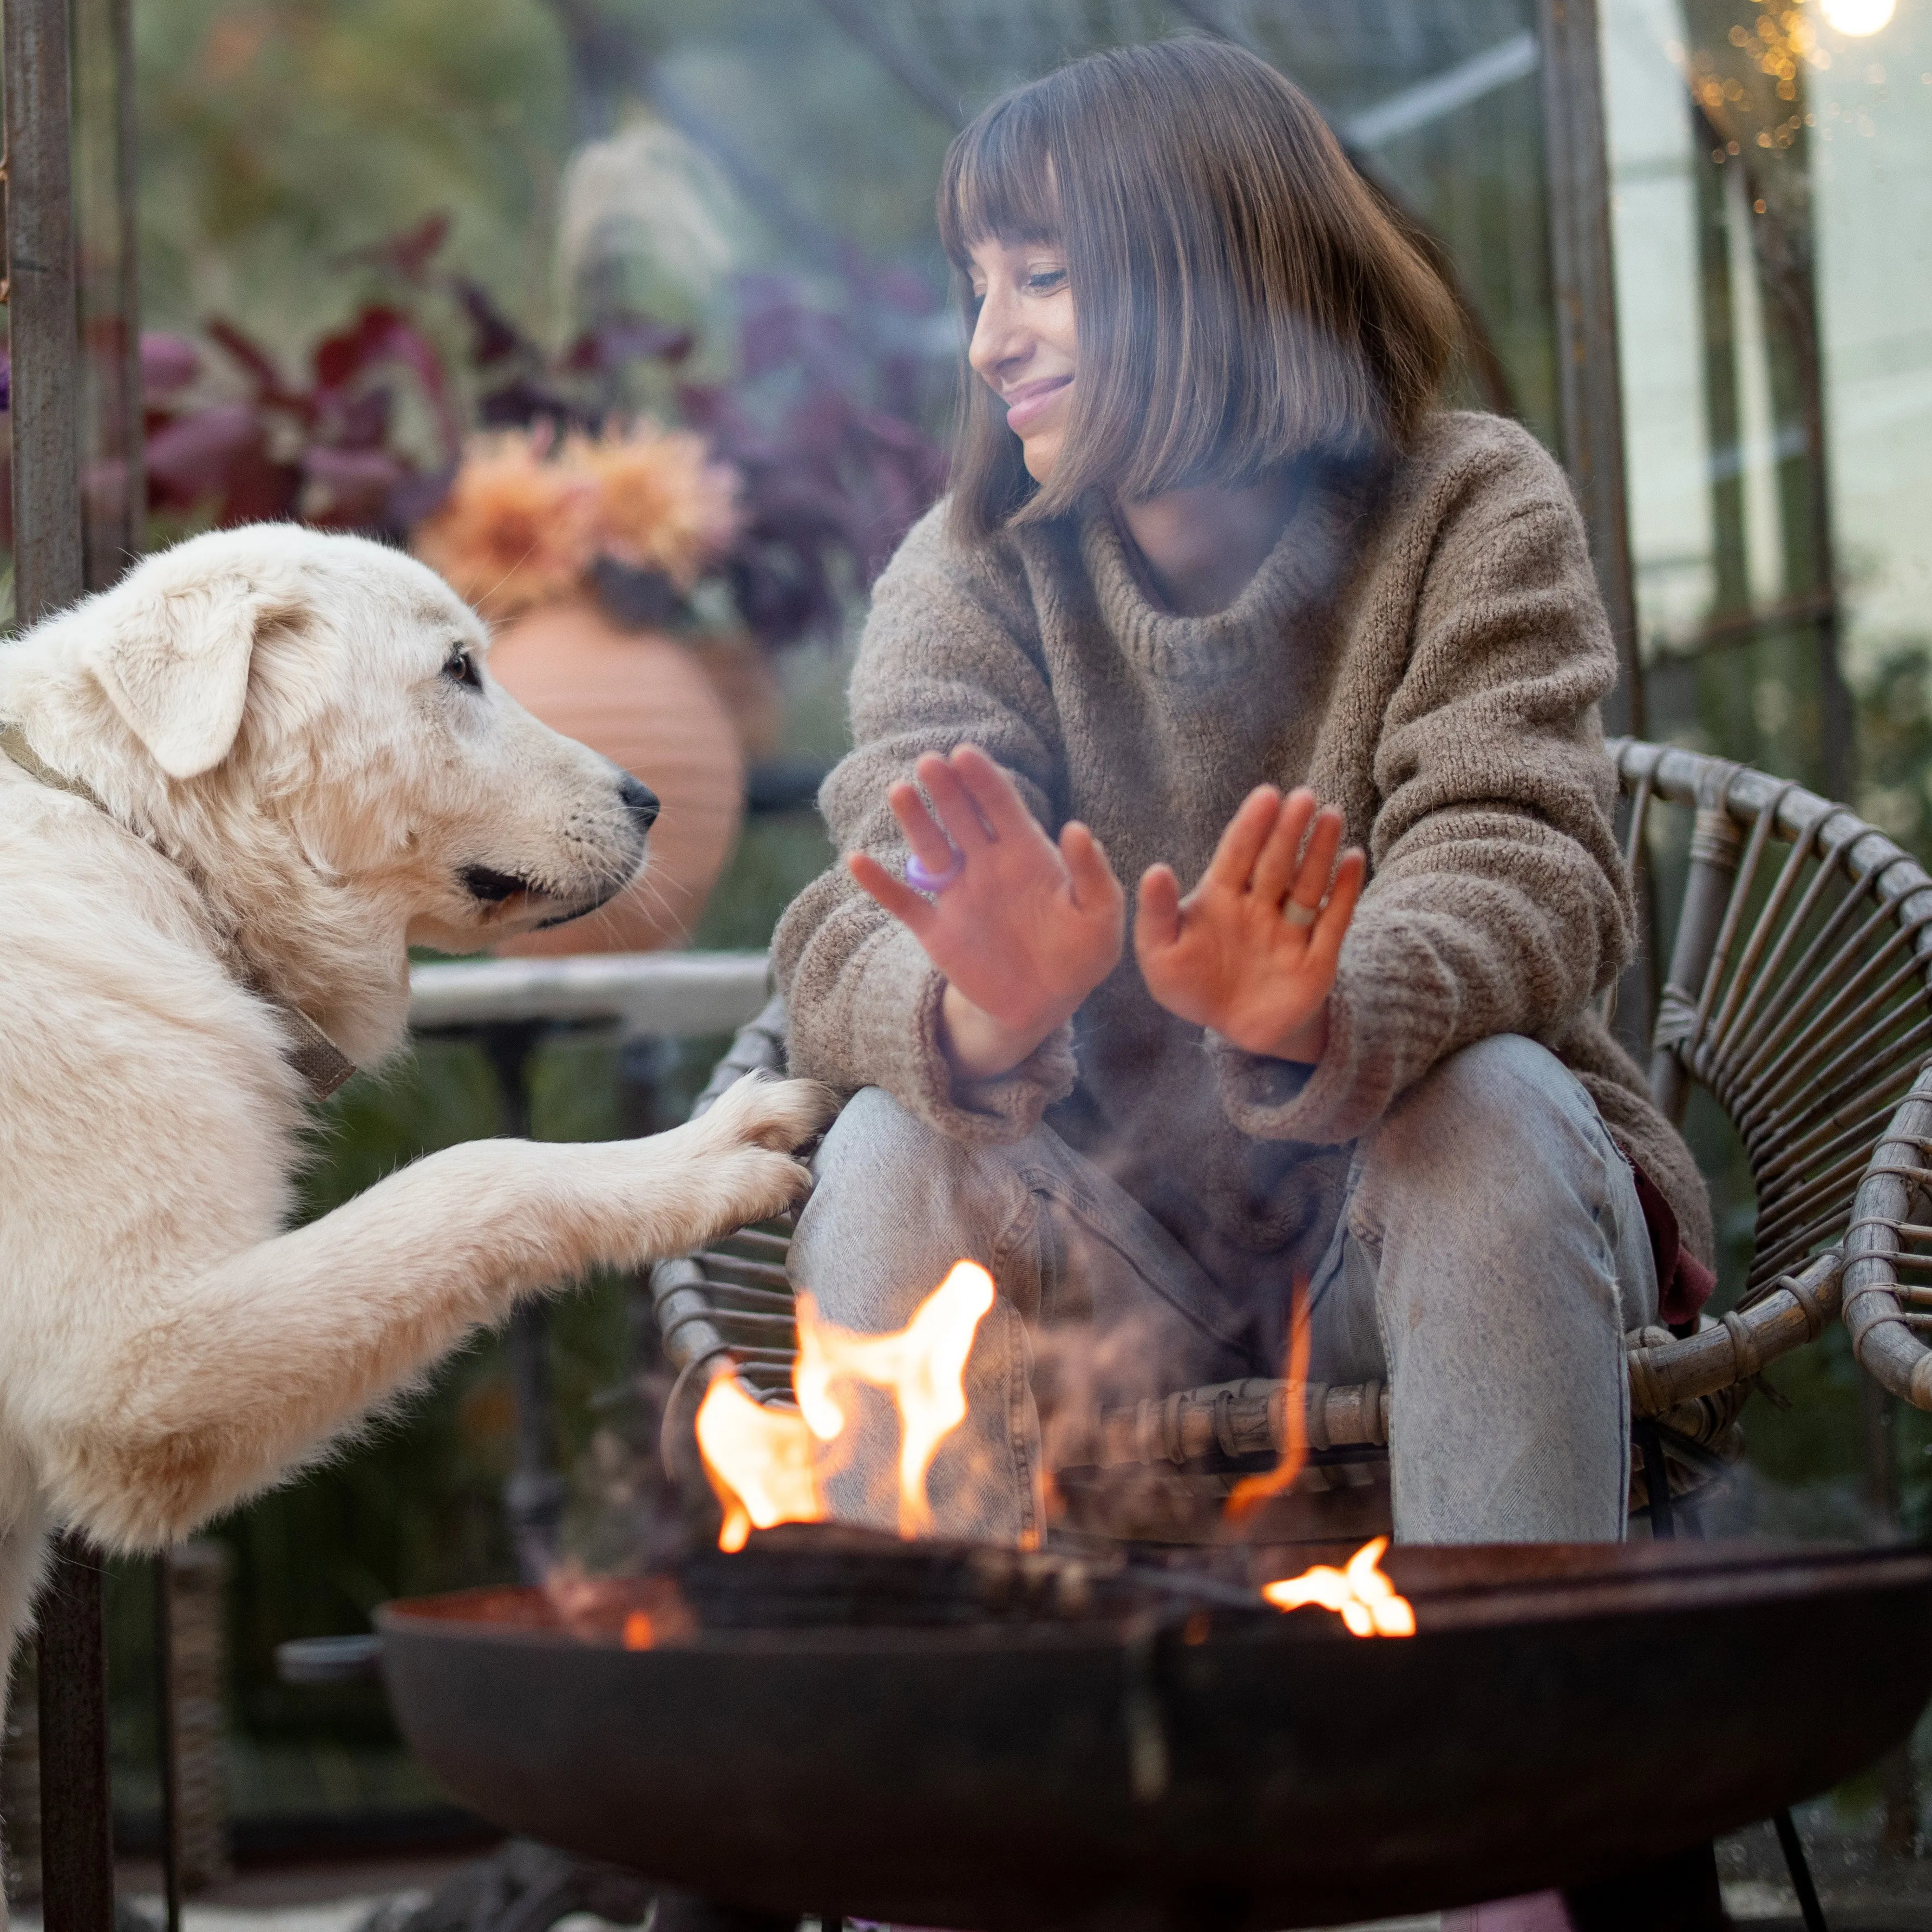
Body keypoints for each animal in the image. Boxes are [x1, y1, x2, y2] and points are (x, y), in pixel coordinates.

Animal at [0, 533, 823, 1676]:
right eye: (459, 670)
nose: (650, 800)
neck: (142, 841)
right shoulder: (134, 1367)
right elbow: (483, 1170)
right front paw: (697, 1155)